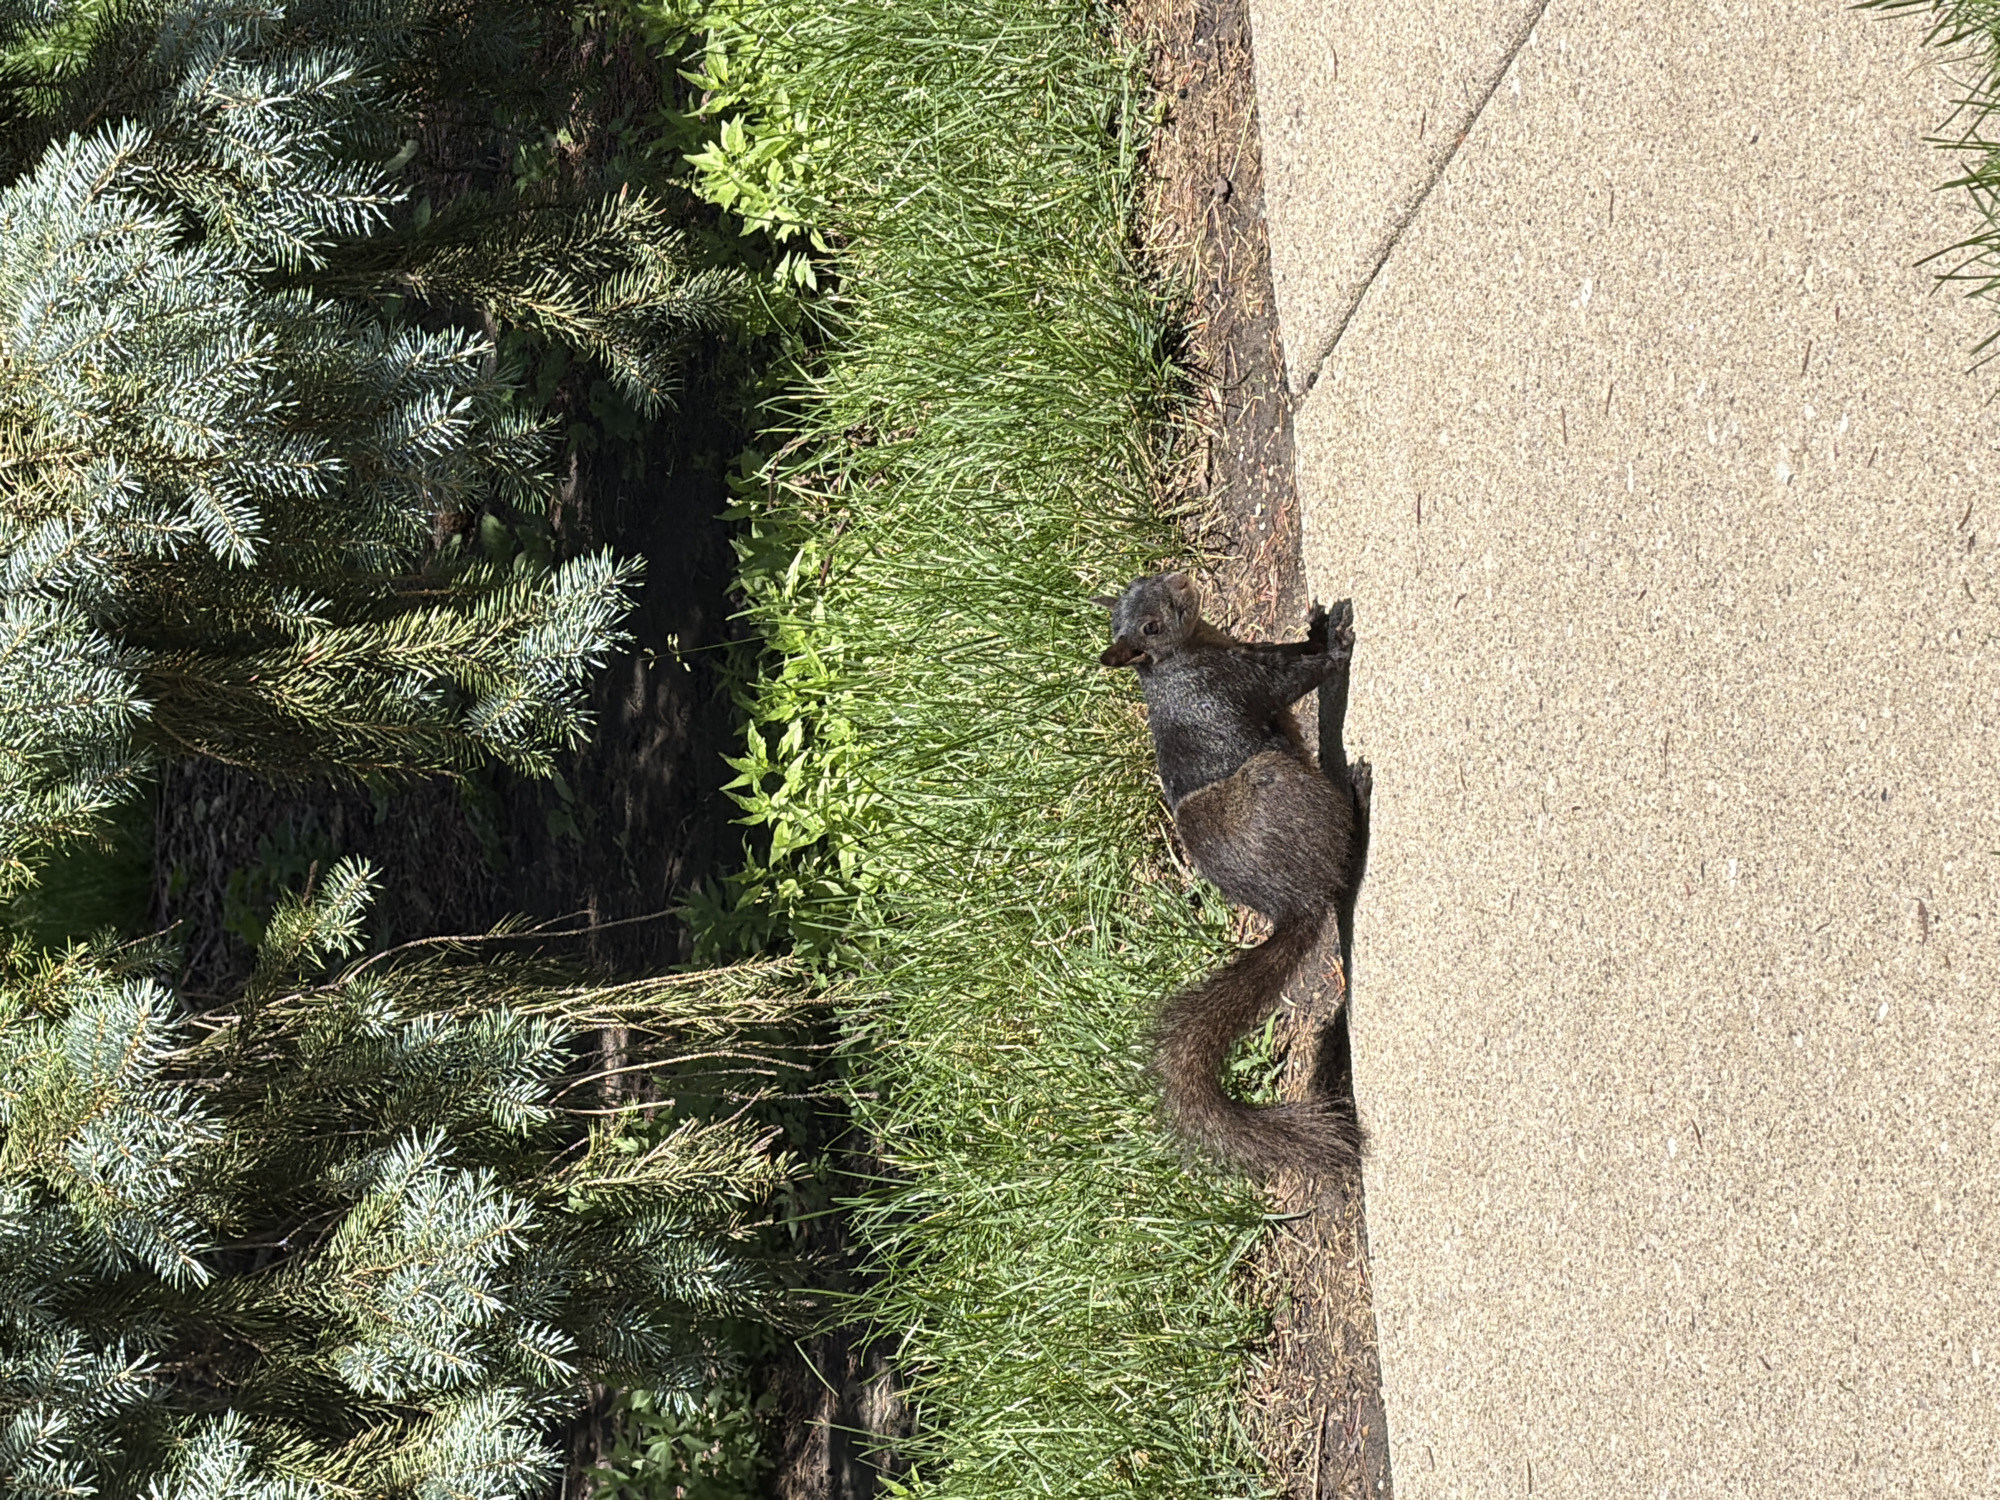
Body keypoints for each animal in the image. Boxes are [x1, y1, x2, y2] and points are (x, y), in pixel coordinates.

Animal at [1095, 571, 1371, 1178]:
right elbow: (1292, 680)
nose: (1180, 578)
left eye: (1147, 579)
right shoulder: (1236, 683)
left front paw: (1317, 625)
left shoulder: (1243, 652)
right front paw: (1338, 642)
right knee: (1344, 853)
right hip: (1277, 783)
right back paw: (1358, 798)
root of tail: (1293, 902)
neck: (1187, 653)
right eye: (1150, 626)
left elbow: (1287, 652)